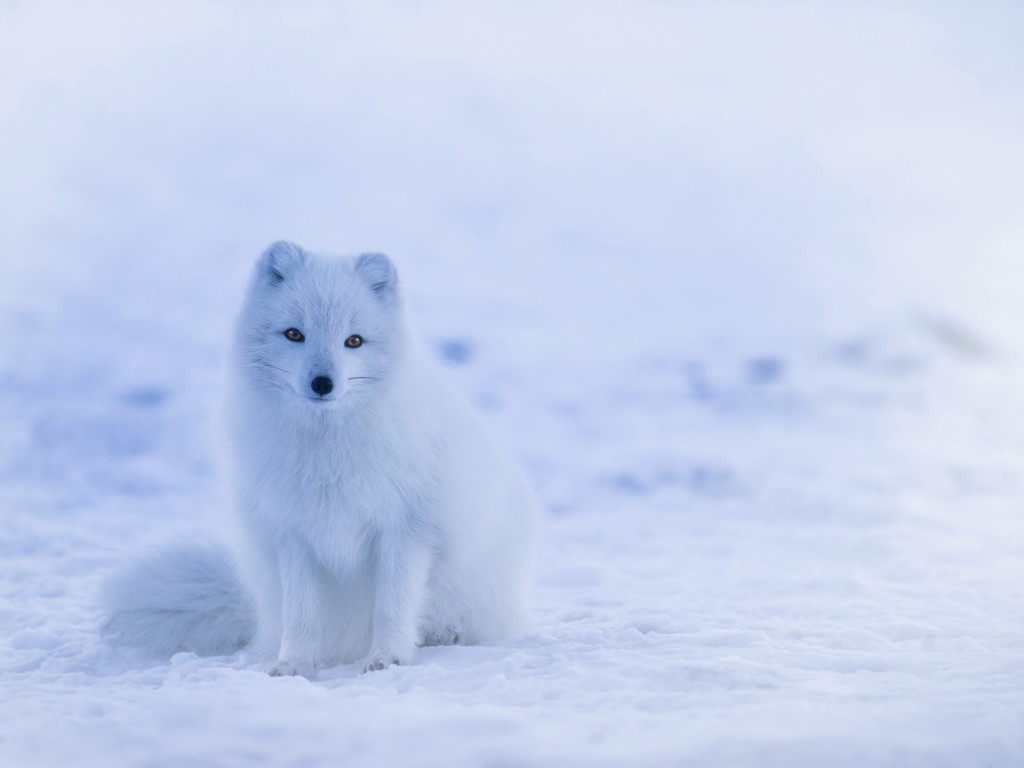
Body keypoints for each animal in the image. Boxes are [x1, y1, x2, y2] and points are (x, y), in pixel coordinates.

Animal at [100, 241, 540, 679]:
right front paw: (293, 664)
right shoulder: (294, 534)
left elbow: (393, 605)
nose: (323, 383)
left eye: (354, 341)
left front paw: (388, 658)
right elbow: (302, 615)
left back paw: (443, 634)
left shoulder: (406, 530)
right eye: (294, 334)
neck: (327, 451)